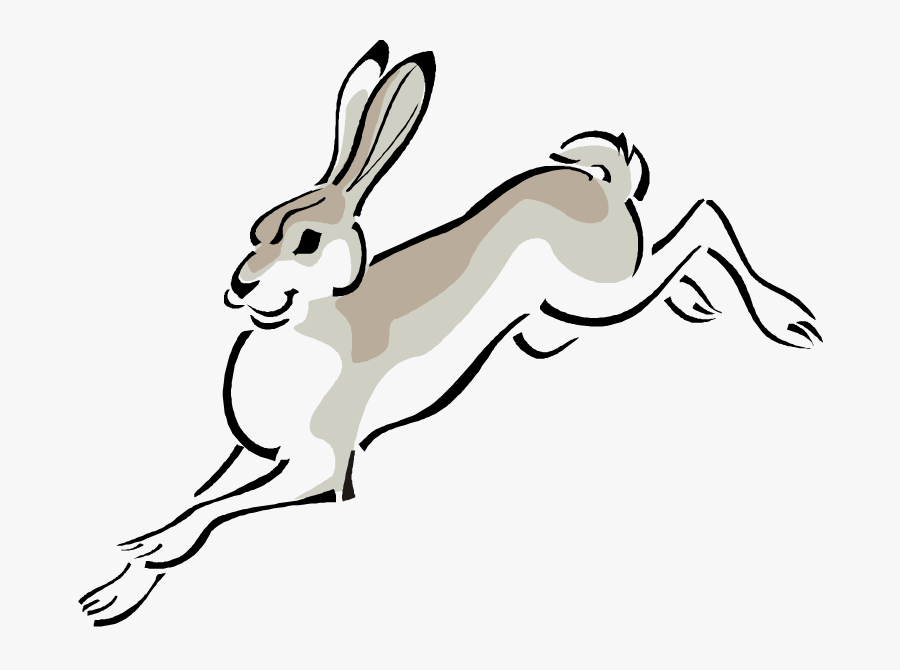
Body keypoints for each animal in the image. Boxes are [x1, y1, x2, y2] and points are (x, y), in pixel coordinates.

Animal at [79, 40, 820, 626]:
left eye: (308, 240)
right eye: (256, 228)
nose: (240, 287)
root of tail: (598, 182)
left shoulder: (322, 466)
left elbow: (216, 511)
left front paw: (154, 548)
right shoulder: (250, 453)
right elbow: (199, 497)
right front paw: (111, 594)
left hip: (592, 293)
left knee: (703, 217)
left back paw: (788, 319)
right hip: (570, 310)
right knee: (656, 265)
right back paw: (696, 304)